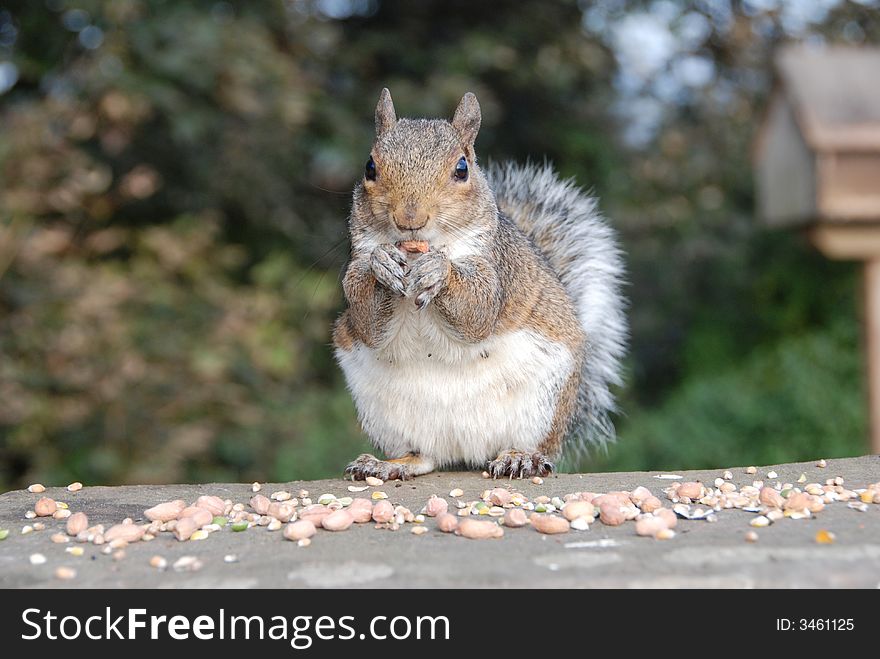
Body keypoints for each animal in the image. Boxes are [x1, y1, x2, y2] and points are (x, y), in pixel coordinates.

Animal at [332, 89, 624, 480]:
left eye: (462, 168)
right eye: (370, 167)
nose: (410, 219)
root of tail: (465, 451)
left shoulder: (496, 269)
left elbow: (478, 311)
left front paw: (440, 271)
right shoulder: (355, 270)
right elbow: (366, 321)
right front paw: (382, 264)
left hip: (544, 407)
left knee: (534, 446)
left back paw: (521, 457)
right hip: (386, 415)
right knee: (423, 456)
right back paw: (386, 465)